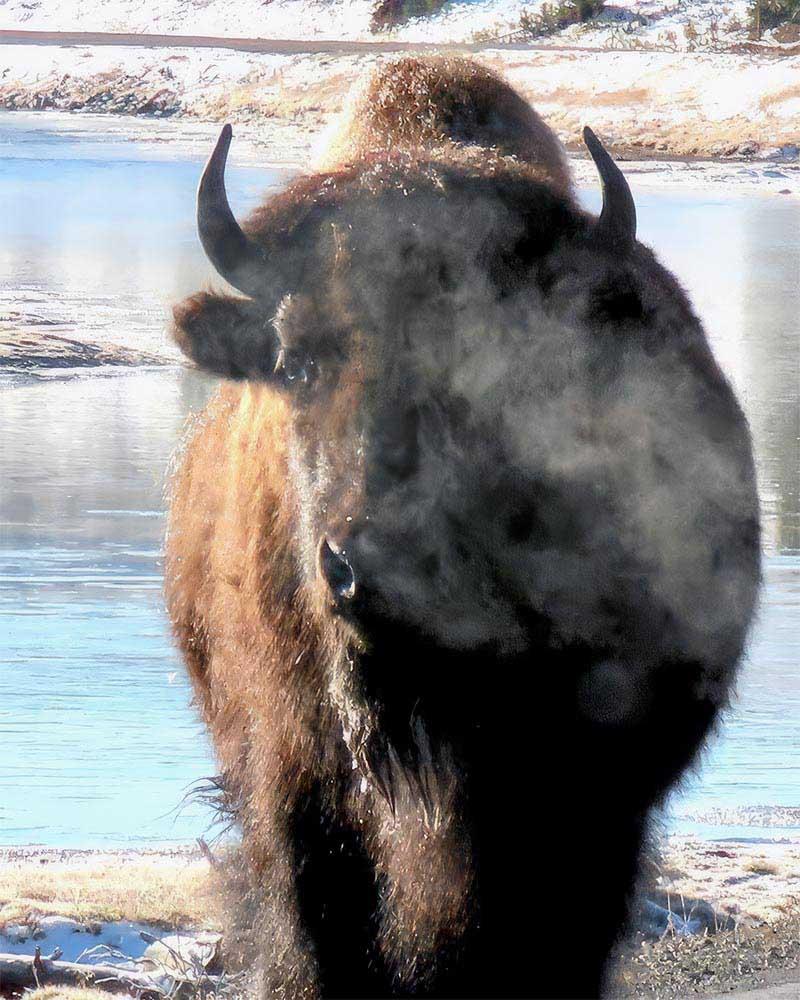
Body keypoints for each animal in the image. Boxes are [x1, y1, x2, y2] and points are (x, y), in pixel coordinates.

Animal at [166, 58, 760, 998]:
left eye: (504, 364)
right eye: (297, 363)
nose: (373, 568)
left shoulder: (588, 793)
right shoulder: (297, 783)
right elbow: (317, 932)